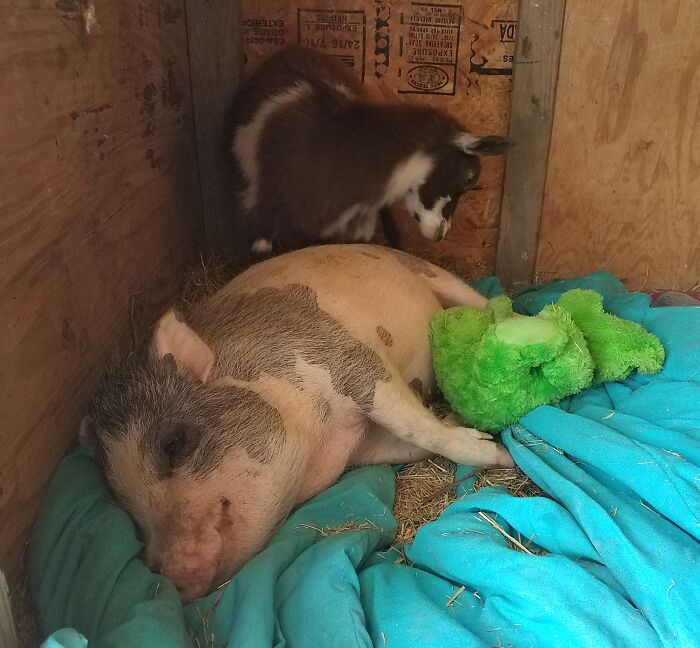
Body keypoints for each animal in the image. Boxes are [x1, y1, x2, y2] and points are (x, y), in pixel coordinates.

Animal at [81, 244, 514, 602]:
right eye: (128, 511)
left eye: (174, 443)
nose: (169, 579)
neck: (319, 440)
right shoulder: (364, 447)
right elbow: (410, 443)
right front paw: (464, 425)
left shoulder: (346, 358)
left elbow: (414, 424)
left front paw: (498, 453)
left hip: (433, 274)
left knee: (487, 300)